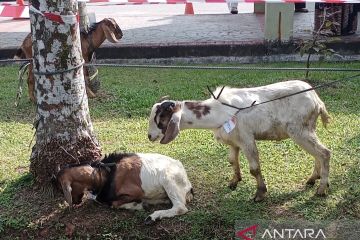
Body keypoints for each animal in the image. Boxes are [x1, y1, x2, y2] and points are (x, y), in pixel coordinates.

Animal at [54, 152, 193, 223]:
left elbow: (114, 204)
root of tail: (188, 184)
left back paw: (153, 216)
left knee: (180, 208)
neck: (105, 173)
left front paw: (137, 205)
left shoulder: (136, 192)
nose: (75, 202)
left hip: (169, 180)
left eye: (61, 189)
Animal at [148, 80, 330, 202]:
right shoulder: (233, 140)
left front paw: (260, 194)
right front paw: (234, 182)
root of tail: (317, 100)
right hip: (308, 129)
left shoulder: (246, 138)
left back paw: (321, 189)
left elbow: (254, 169)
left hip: (299, 130)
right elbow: (232, 160)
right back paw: (313, 179)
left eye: (160, 119)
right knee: (317, 154)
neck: (220, 111)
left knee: (324, 153)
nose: (149, 136)